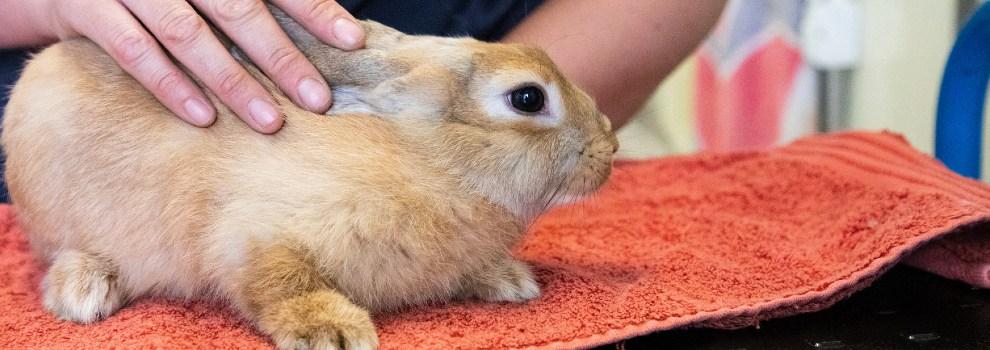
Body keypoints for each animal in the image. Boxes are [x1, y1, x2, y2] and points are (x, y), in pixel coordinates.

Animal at [1, 5, 620, 350]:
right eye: (527, 98)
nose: (610, 147)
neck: (430, 158)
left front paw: (509, 280)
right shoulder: (252, 233)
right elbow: (280, 280)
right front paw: (335, 332)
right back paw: (83, 289)